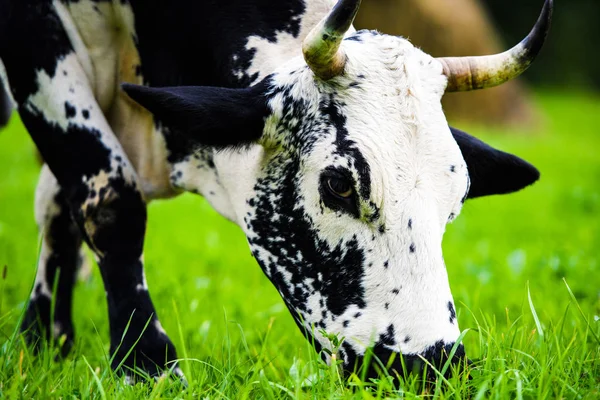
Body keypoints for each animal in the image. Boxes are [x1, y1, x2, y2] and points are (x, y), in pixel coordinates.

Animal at [0, 0, 552, 382]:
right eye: (339, 184)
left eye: (455, 200)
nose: (430, 367)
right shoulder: (38, 45)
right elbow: (112, 201)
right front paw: (145, 362)